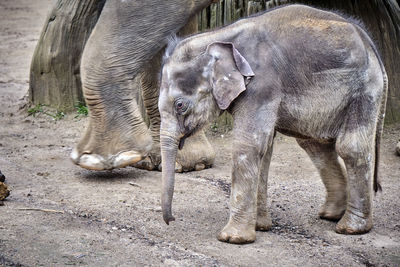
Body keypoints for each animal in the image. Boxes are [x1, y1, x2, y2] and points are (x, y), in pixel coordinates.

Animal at [157, 4, 388, 244]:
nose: (171, 220)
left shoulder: (262, 85)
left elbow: (248, 145)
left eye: (180, 105)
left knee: (349, 147)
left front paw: (233, 238)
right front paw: (260, 227)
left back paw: (350, 228)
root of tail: (371, 45)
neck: (218, 36)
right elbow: (264, 149)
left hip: (364, 90)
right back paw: (331, 214)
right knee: (314, 145)